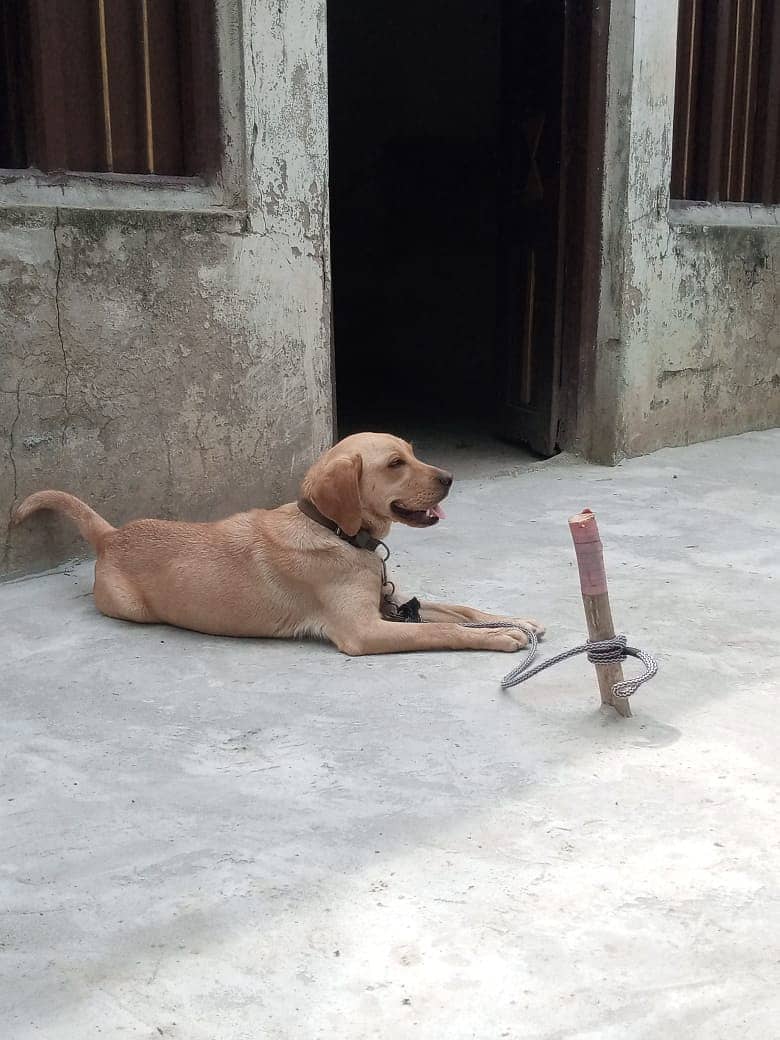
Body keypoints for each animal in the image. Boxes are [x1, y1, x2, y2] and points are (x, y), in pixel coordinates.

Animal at [15, 434, 544, 653]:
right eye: (395, 464)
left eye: (413, 453)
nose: (451, 478)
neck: (334, 531)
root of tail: (112, 535)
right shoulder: (365, 630)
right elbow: (442, 629)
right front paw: (498, 637)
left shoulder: (389, 604)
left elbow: (459, 609)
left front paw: (516, 620)